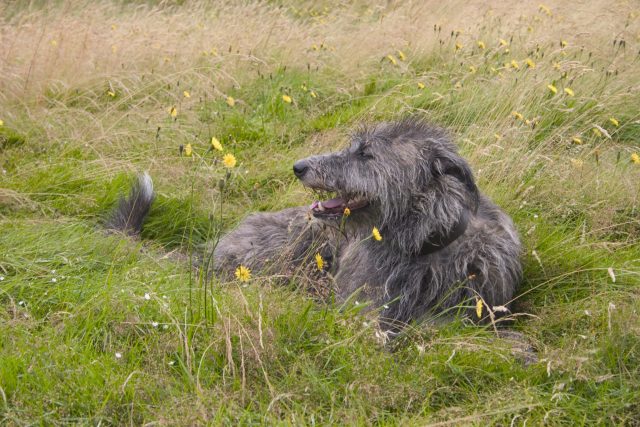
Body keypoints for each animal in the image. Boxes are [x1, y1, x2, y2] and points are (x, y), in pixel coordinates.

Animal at [109, 119, 520, 332]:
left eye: (366, 154)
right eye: (355, 147)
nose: (299, 166)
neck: (421, 243)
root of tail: (209, 254)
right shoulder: (362, 306)